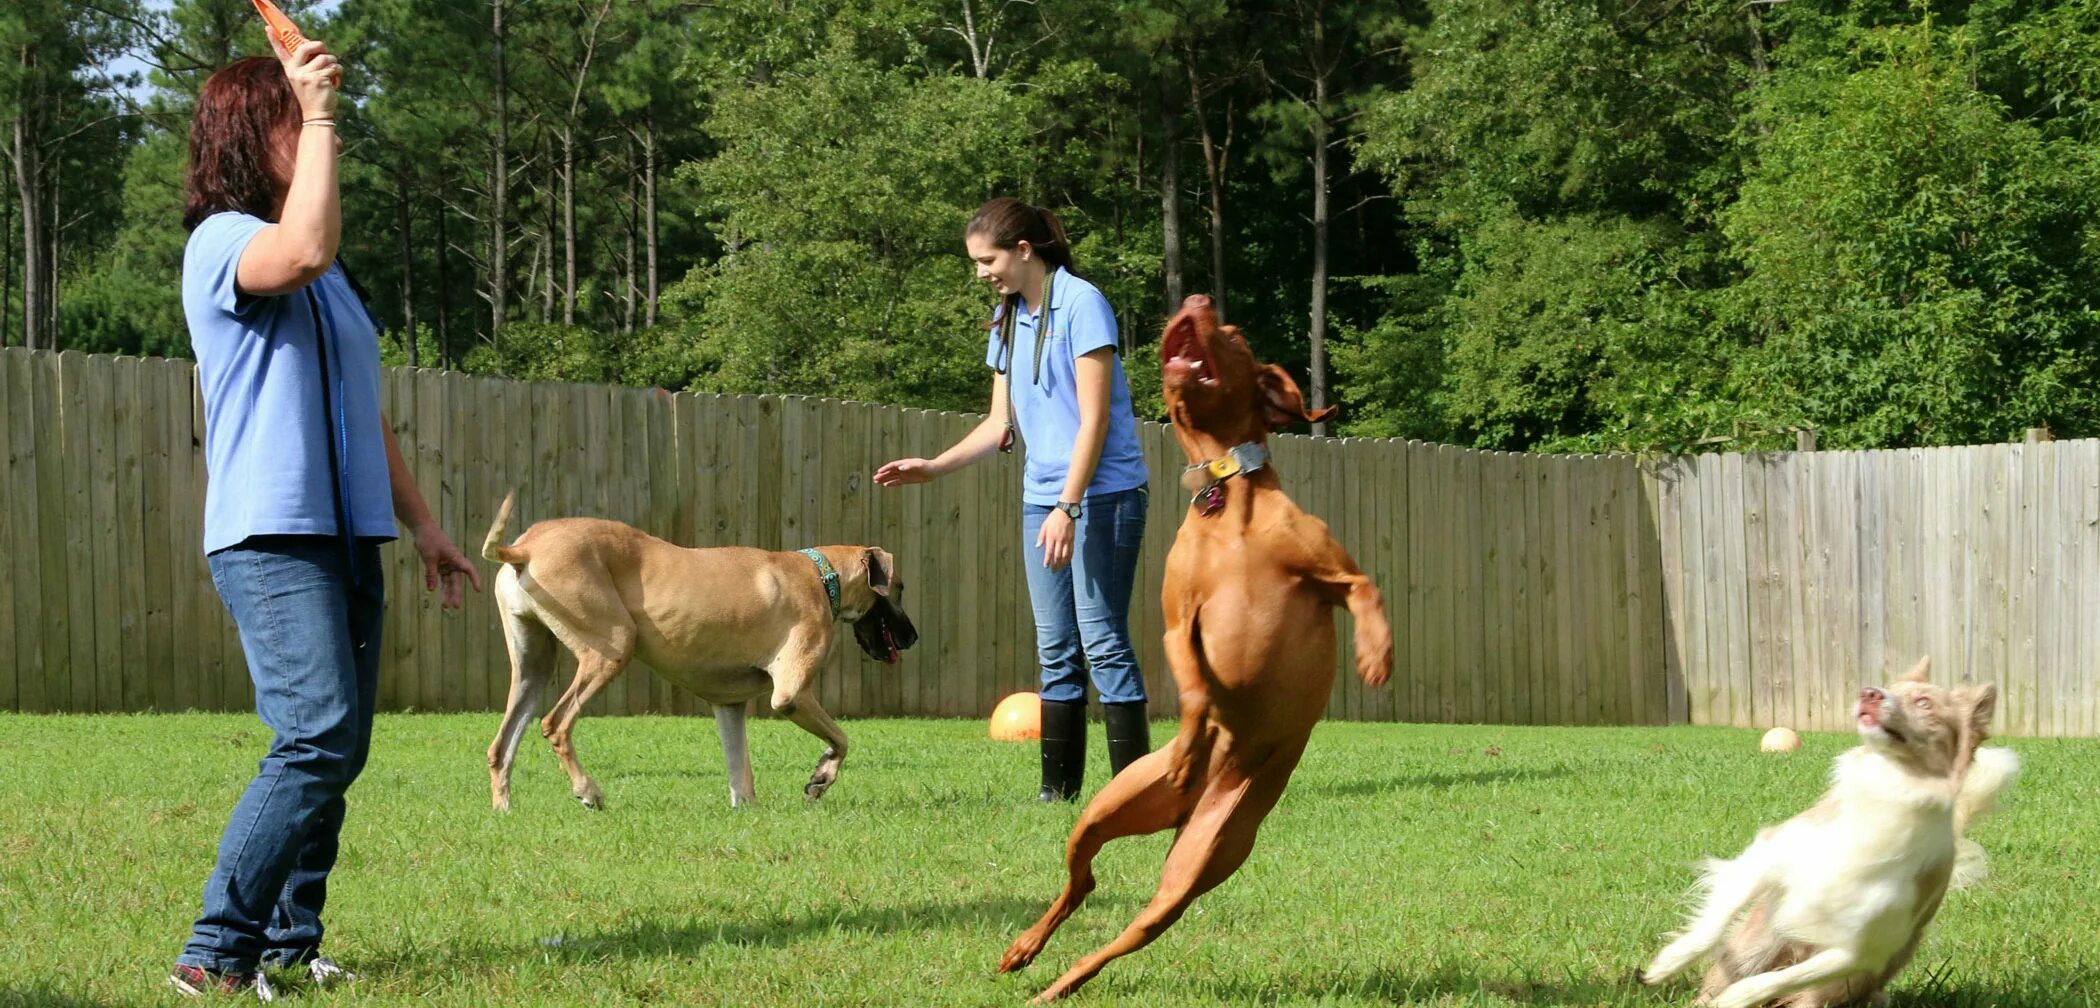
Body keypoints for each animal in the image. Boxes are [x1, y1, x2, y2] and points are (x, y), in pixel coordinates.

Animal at [480, 491, 915, 814]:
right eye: (899, 587)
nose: (912, 638)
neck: (821, 575)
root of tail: (526, 548)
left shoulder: (728, 705)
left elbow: (741, 772)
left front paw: (750, 808)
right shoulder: (791, 695)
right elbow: (842, 739)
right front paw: (820, 778)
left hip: (532, 667)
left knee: (502, 745)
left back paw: (504, 810)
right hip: (612, 646)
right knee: (556, 723)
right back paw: (588, 790)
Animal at [999, 291, 1394, 999]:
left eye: (1233, 333)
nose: (1195, 300)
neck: (1226, 497)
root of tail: (1187, 810)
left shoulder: (1334, 577)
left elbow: (1368, 591)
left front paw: (1376, 655)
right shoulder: (1179, 623)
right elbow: (1191, 682)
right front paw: (1192, 732)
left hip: (1196, 867)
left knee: (1121, 920)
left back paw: (1056, 979)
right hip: (1103, 811)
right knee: (1080, 882)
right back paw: (1029, 954)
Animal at [1637, 659, 2015, 1003]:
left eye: (1925, 703)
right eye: (1891, 687)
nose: (1870, 692)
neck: (1891, 785)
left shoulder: (1859, 951)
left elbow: (1778, 981)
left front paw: (1739, 997)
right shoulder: (1768, 855)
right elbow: (1712, 926)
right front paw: (1669, 961)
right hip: (1754, 946)